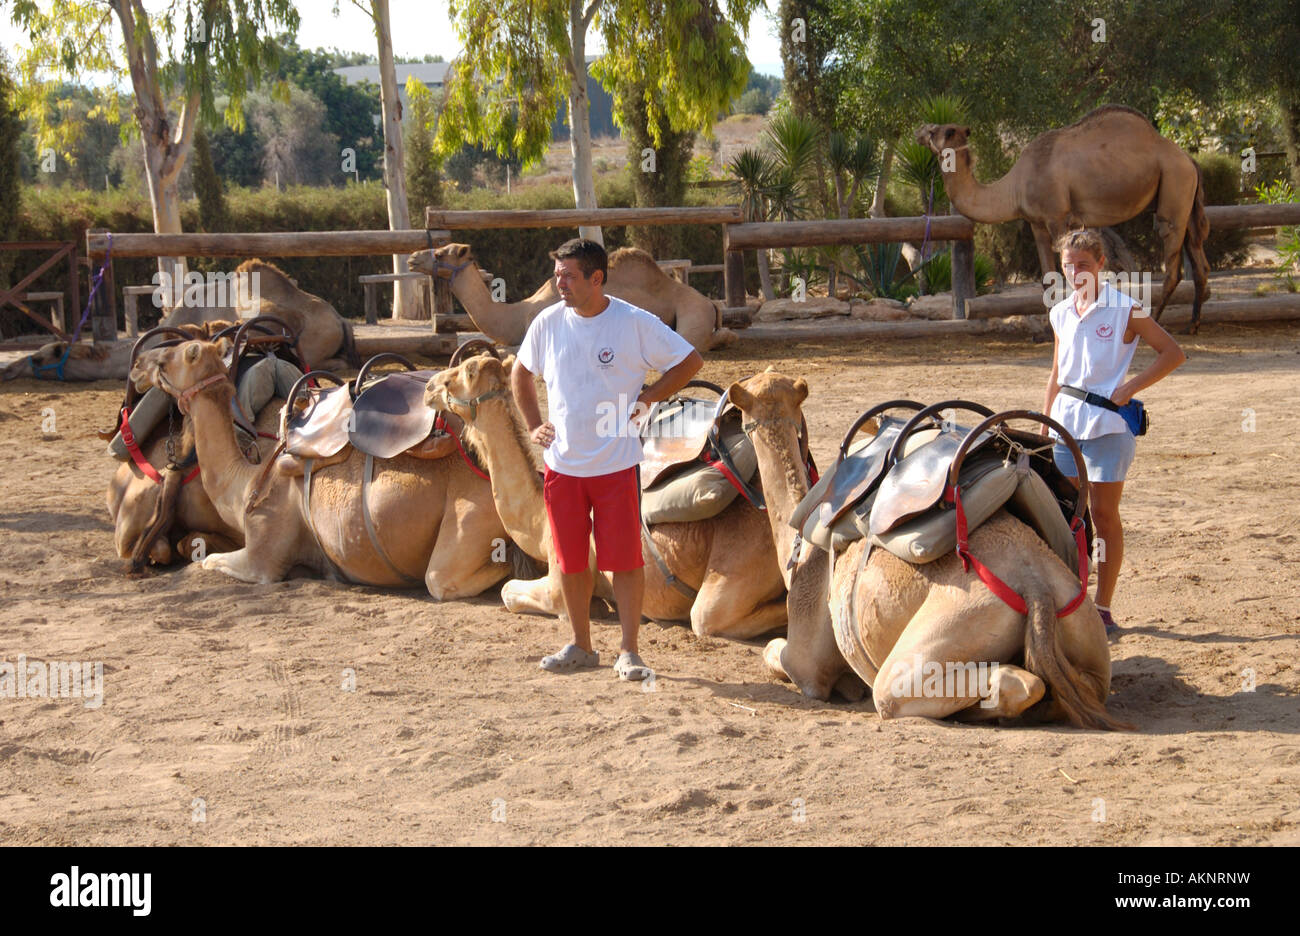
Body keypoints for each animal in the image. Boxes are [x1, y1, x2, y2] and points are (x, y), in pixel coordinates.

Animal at [128, 338, 515, 599]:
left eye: (169, 358)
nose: (137, 365)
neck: (247, 485)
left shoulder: (262, 556)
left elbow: (205, 562)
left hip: (470, 517)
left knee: (443, 577)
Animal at [409, 243, 736, 353]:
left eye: (441, 253)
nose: (412, 258)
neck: (516, 314)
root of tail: (710, 302)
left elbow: (507, 349)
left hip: (692, 314)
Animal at [423, 354, 787, 638]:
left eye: (456, 378)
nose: (428, 387)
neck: (539, 520)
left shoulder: (560, 580)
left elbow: (509, 592)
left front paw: (596, 605)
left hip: (739, 559)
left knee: (711, 616)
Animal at [727, 371, 1128, 729]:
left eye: (740, 404)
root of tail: (1037, 588)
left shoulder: (808, 664)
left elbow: (778, 654)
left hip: (951, 629)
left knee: (945, 687)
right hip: (1079, 618)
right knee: (1080, 684)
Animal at [917, 105, 1210, 332]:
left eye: (936, 131)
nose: (919, 132)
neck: (1015, 186)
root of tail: (1189, 160)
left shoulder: (1057, 217)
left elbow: (1068, 276)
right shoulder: (1036, 223)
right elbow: (1047, 278)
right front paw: (1048, 331)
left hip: (1174, 187)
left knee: (1172, 264)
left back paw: (1155, 320)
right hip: (1183, 199)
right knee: (1199, 260)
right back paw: (1192, 324)